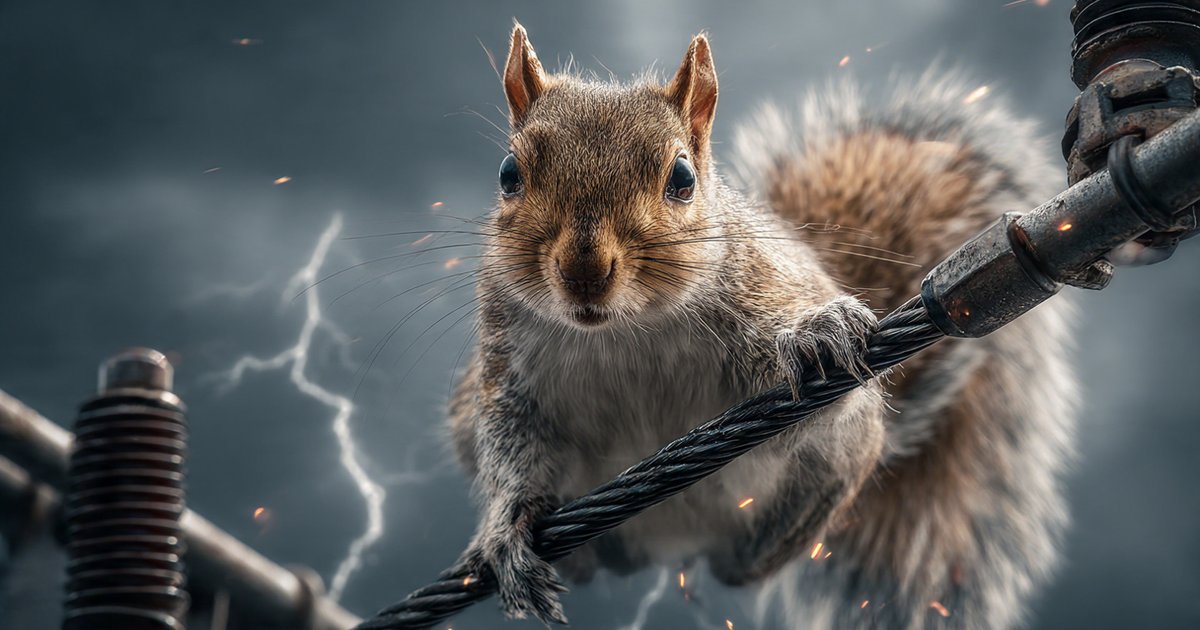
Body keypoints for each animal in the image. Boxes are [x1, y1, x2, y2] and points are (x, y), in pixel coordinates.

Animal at [447, 23, 1076, 630]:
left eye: (682, 178)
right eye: (508, 174)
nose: (584, 273)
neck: (624, 329)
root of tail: (674, 546)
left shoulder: (760, 291)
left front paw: (818, 337)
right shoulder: (507, 368)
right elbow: (512, 449)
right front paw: (506, 534)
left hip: (830, 466)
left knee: (750, 558)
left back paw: (746, 555)